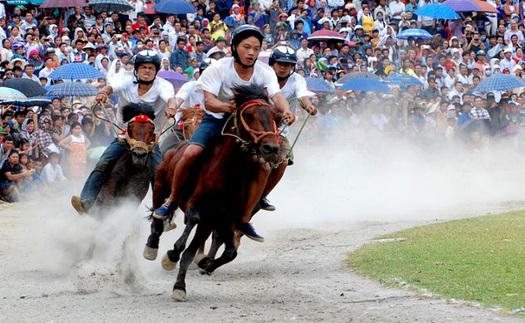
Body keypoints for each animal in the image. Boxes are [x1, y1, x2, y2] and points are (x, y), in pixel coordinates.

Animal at [143, 85, 282, 302]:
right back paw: (152, 246)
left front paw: (196, 272)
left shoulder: (221, 219)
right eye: (249, 115)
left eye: (275, 115)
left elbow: (226, 252)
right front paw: (173, 256)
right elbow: (190, 226)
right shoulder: (198, 207)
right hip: (159, 187)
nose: (271, 148)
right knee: (158, 219)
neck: (228, 172)